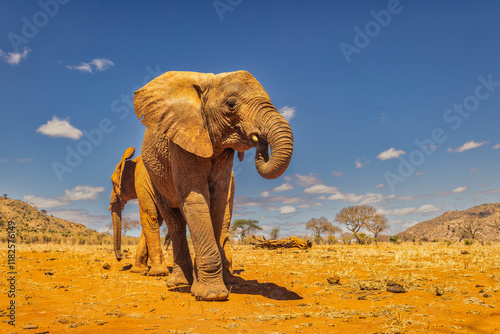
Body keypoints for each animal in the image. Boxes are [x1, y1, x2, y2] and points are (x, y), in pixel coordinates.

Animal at [135, 70, 294, 300]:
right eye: (231, 104)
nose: (260, 141)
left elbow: (217, 200)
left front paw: (210, 287)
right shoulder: (182, 139)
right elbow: (196, 199)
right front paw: (212, 295)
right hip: (154, 175)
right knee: (174, 220)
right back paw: (177, 283)